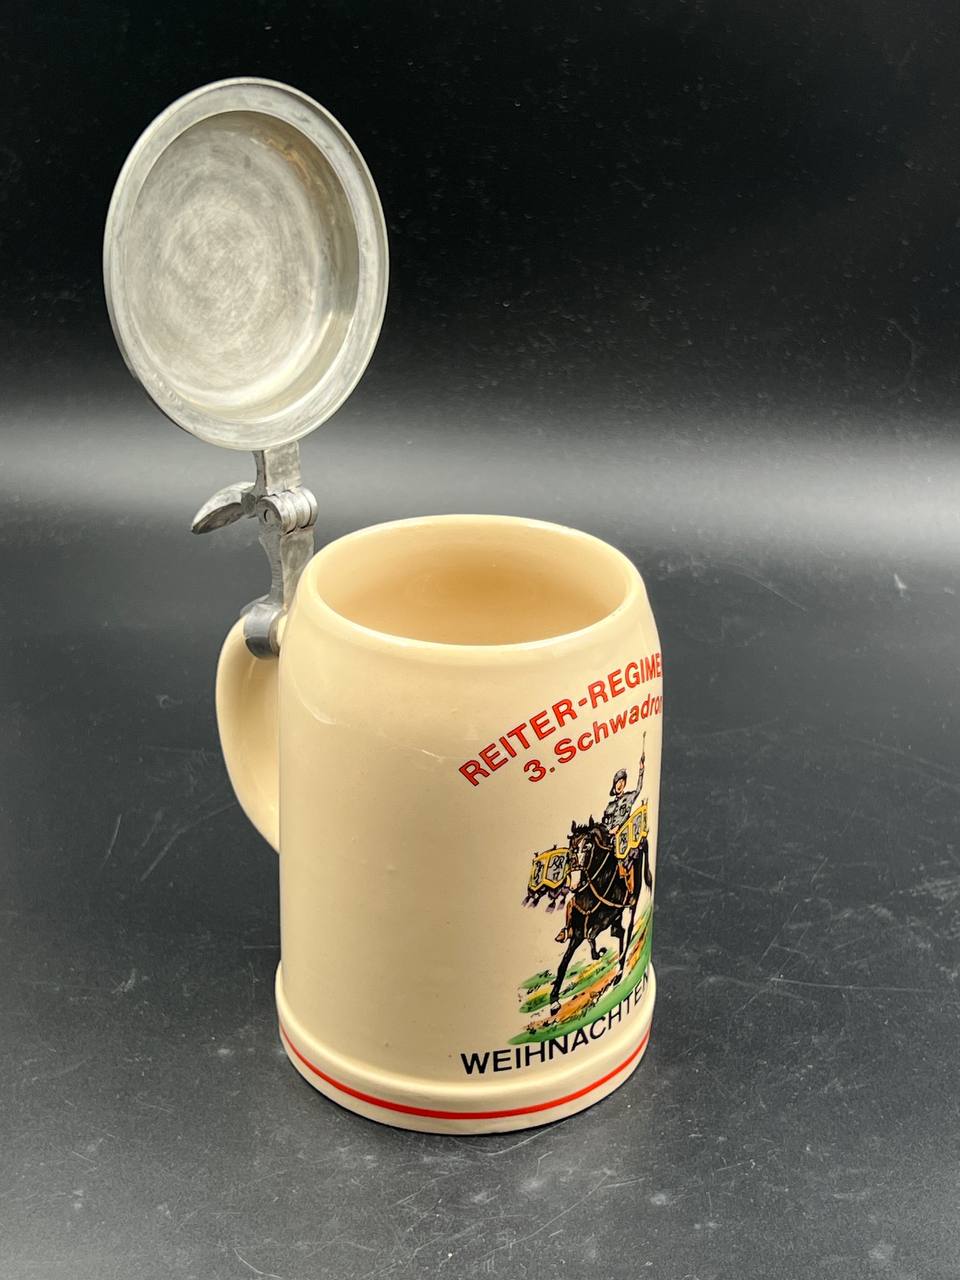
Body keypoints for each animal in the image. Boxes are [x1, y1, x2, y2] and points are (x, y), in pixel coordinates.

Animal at [549, 818, 652, 1014]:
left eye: (588, 845)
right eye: (571, 846)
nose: (573, 882)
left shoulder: (604, 919)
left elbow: (591, 936)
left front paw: (599, 953)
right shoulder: (577, 932)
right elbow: (563, 963)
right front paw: (554, 1000)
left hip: (632, 903)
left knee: (627, 931)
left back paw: (619, 973)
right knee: (619, 932)